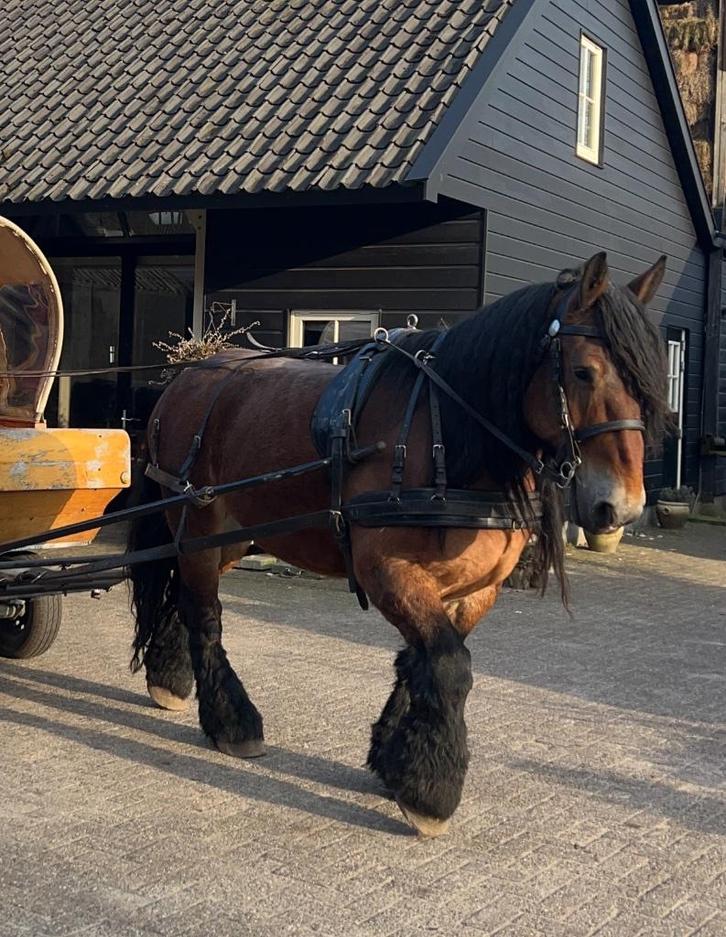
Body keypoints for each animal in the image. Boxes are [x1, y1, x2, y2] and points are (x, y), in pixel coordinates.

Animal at [128, 252, 669, 837]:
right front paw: (431, 791)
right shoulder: (388, 569)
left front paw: (394, 761)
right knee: (204, 615)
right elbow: (449, 665)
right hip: (200, 527)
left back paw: (169, 678)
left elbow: (422, 662)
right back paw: (232, 721)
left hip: (232, 534)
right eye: (584, 371)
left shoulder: (473, 587)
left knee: (181, 593)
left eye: (649, 381)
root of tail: (188, 376)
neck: (446, 437)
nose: (622, 507)